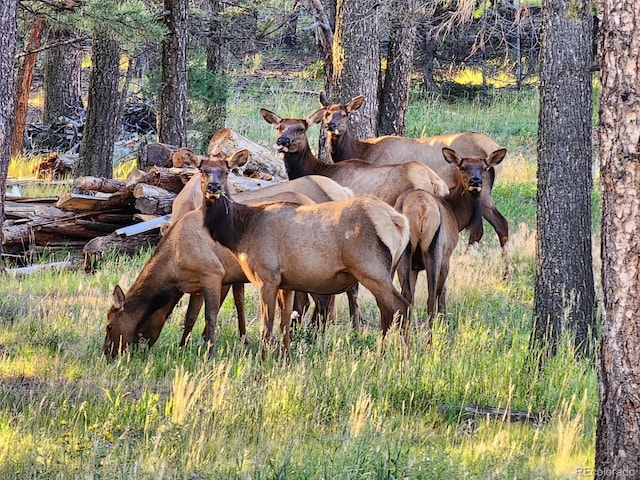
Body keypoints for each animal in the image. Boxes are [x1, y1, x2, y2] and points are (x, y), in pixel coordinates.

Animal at [198, 151, 412, 360]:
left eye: (226, 171)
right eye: (202, 170)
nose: (213, 187)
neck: (240, 233)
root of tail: (399, 221)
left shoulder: (267, 277)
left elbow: (266, 326)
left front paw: (262, 361)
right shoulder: (285, 283)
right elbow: (284, 323)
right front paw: (285, 358)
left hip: (371, 270)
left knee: (401, 308)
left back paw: (404, 356)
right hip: (385, 272)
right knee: (387, 312)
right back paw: (383, 353)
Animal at [318, 92, 510, 249]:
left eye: (344, 115)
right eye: (326, 113)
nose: (331, 125)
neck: (362, 150)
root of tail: (493, 147)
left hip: (481, 188)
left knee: (495, 225)